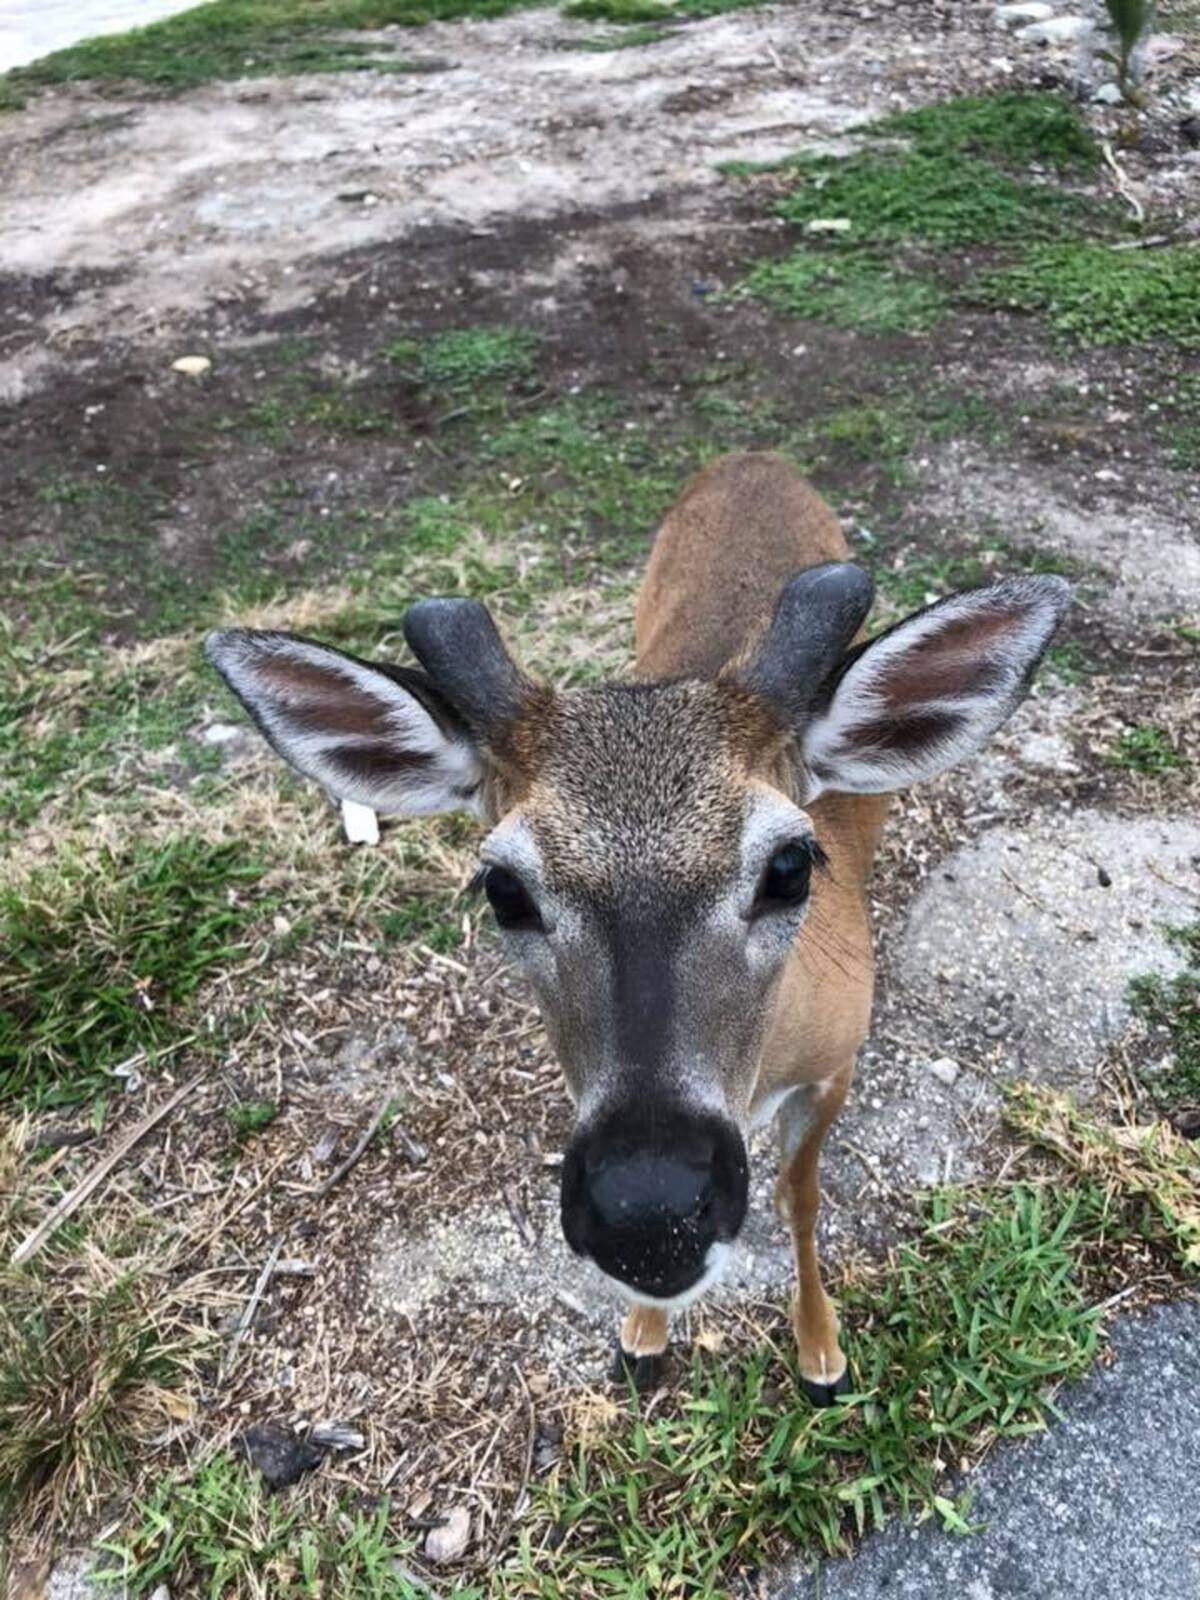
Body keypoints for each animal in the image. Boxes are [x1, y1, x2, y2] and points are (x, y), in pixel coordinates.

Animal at [205, 452, 1068, 1404]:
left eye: (790, 865)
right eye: (503, 888)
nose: (650, 1210)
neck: (762, 1069)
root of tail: (754, 457)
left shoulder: (837, 1061)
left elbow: (800, 1197)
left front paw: (822, 1355)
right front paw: (642, 1338)